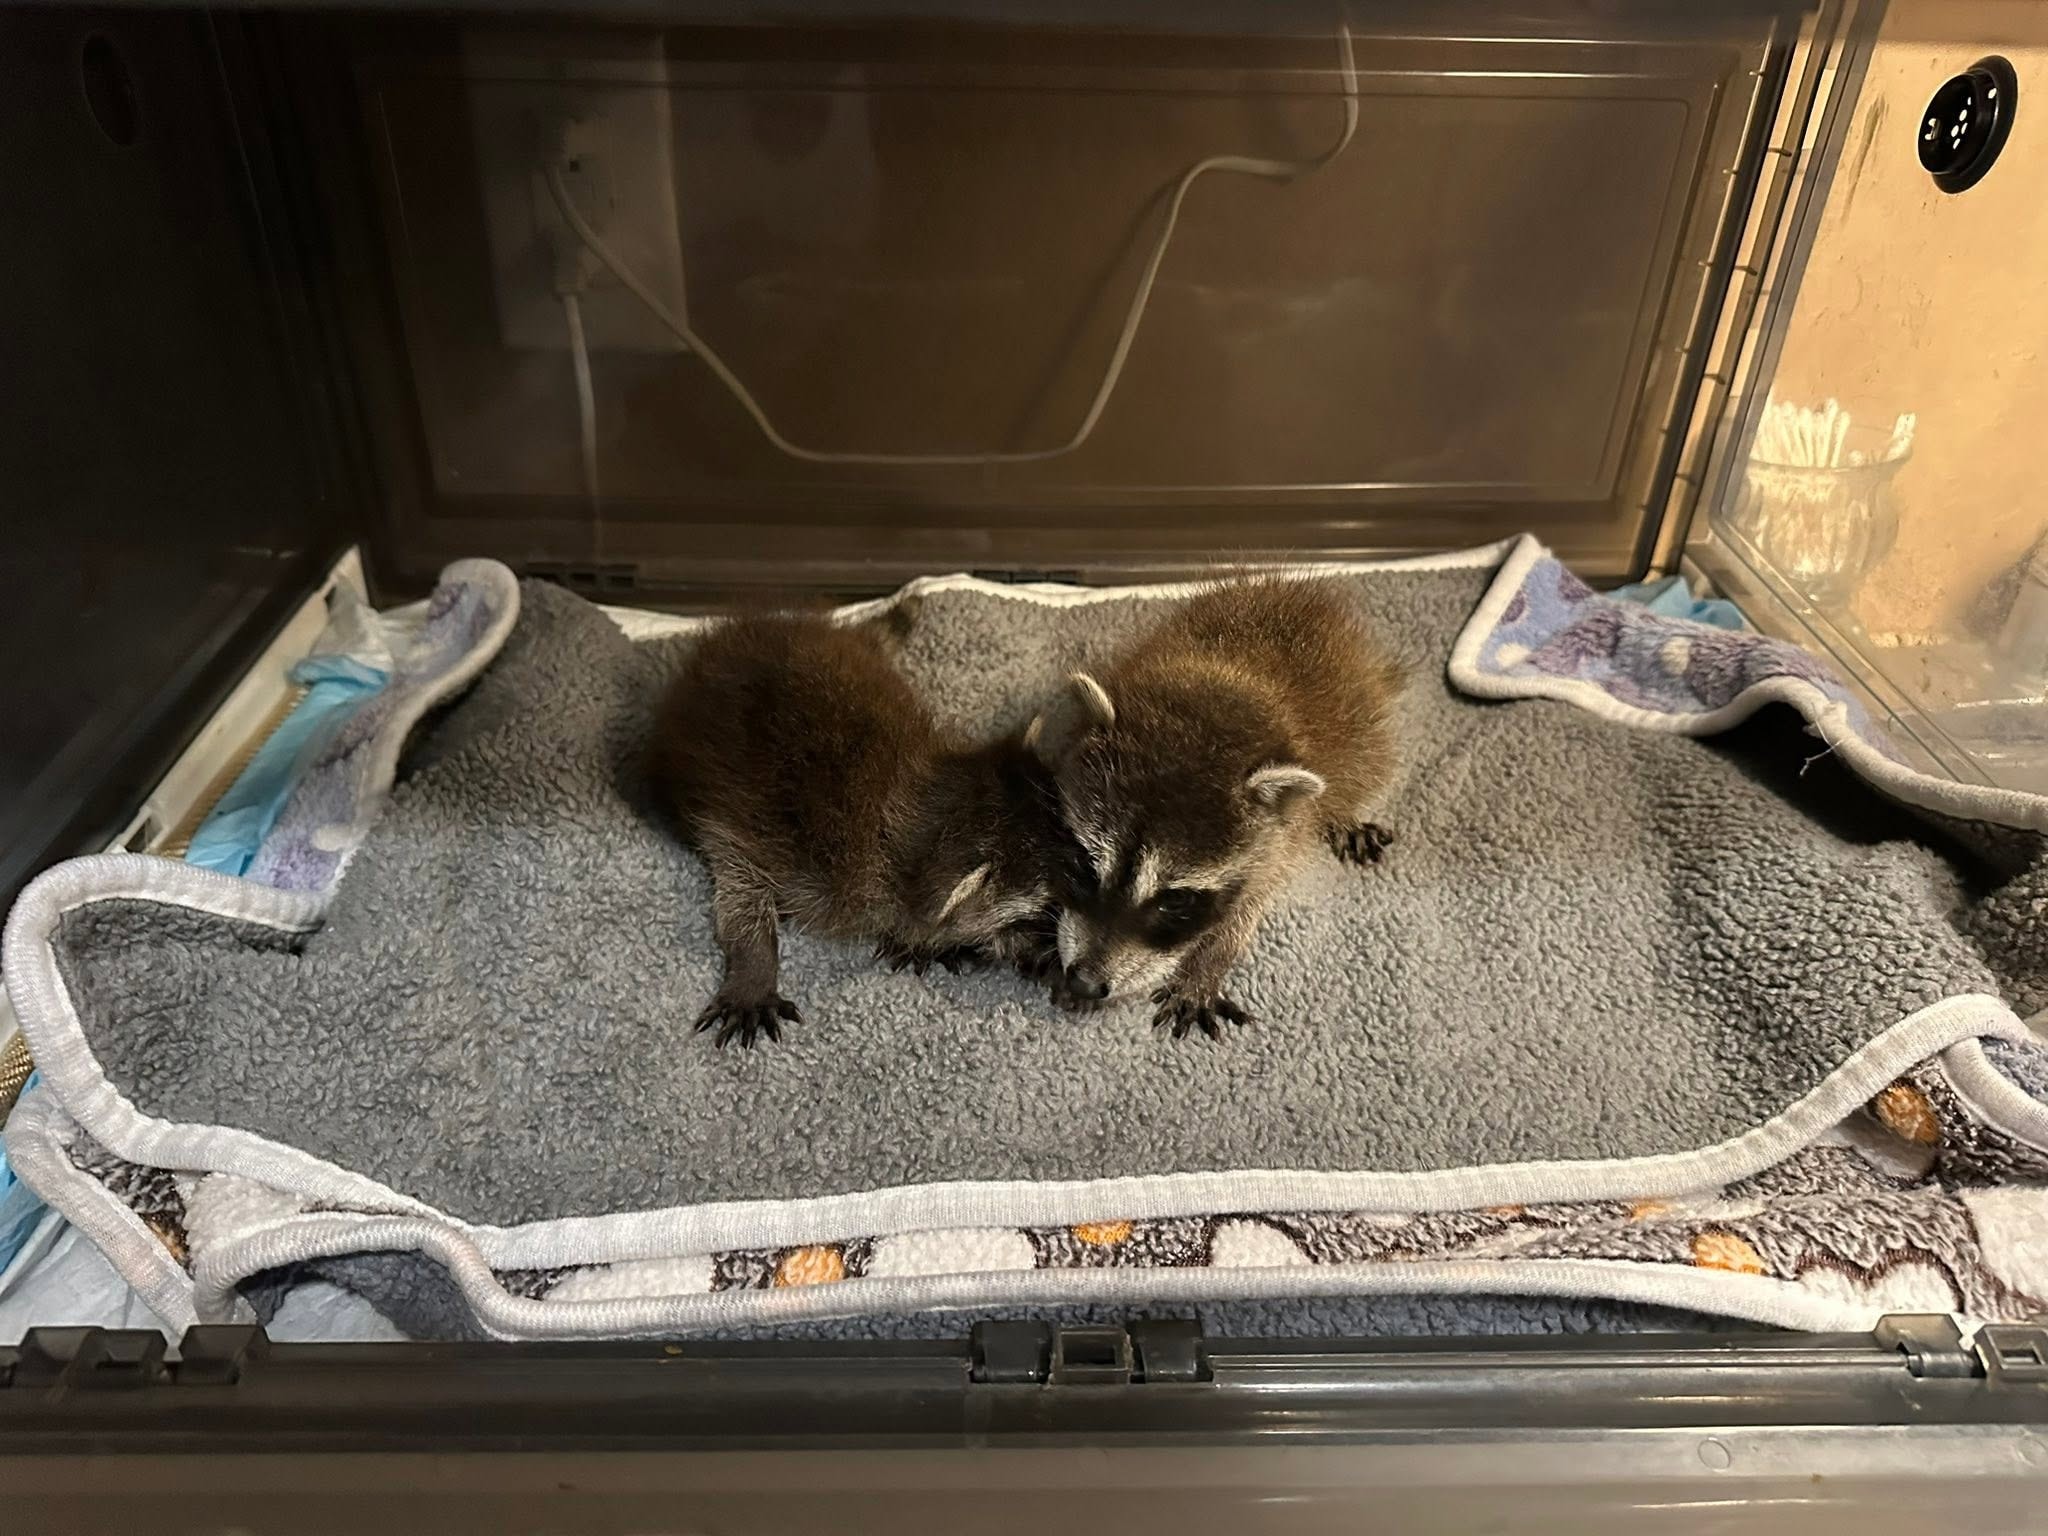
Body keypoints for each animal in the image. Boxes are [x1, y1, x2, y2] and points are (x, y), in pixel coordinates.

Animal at [1026, 577, 1401, 1039]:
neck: (1219, 699)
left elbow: (1244, 911)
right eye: (1084, 863)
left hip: (1367, 731)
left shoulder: (1280, 841)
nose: (1085, 981)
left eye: (1176, 901)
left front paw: (1208, 963)